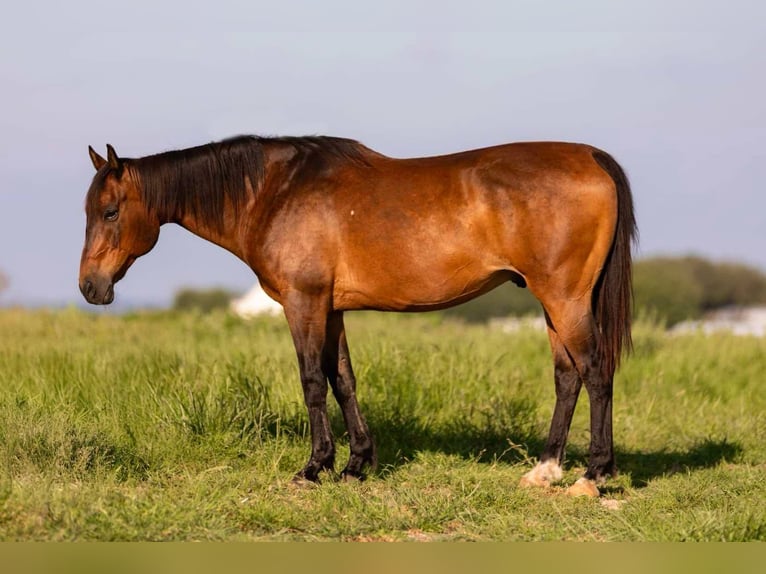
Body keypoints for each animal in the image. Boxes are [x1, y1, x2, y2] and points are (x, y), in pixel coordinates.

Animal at [80, 135, 636, 497]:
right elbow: (342, 379)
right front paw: (355, 464)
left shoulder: (303, 302)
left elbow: (311, 381)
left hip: (564, 298)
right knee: (567, 376)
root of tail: (591, 157)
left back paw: (592, 477)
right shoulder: (332, 309)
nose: (90, 287)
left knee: (595, 372)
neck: (275, 193)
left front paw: (313, 468)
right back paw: (545, 471)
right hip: (553, 304)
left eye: (110, 212)